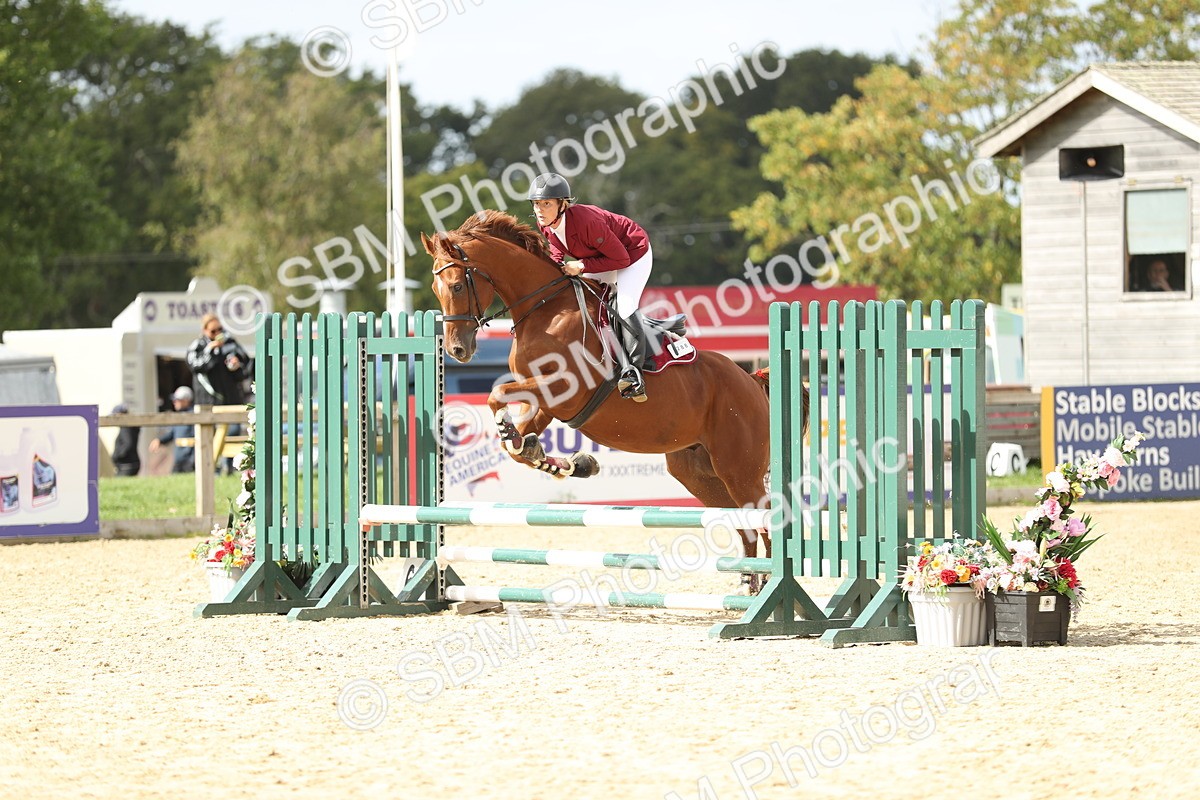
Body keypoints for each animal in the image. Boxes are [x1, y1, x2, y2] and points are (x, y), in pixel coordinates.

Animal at [421, 210, 804, 575]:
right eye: (436, 289)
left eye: (457, 286)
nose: (457, 350)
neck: (545, 309)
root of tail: (751, 380)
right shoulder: (549, 403)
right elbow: (516, 448)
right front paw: (565, 460)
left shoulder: (565, 389)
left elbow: (496, 393)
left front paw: (515, 433)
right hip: (699, 473)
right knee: (746, 526)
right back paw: (748, 584)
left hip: (739, 469)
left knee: (764, 520)